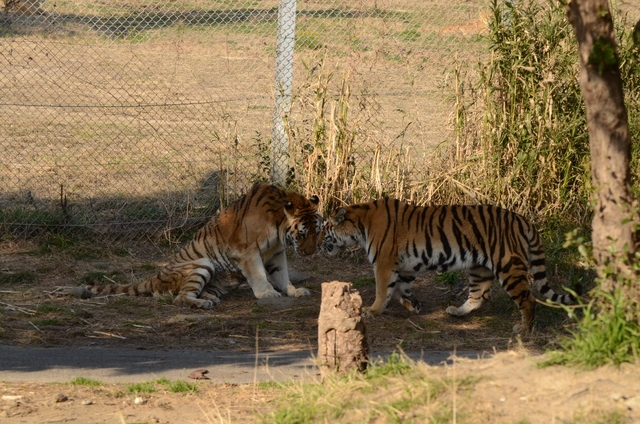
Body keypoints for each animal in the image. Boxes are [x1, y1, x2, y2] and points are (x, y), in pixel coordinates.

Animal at [87, 182, 322, 308]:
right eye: (302, 234)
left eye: (317, 231)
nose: (310, 253)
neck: (278, 226)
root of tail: (155, 276)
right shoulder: (247, 252)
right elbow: (259, 275)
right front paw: (267, 293)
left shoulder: (276, 253)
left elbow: (282, 275)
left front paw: (293, 291)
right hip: (203, 263)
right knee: (180, 297)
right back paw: (203, 303)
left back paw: (209, 296)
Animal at [320, 199, 576, 334]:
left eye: (324, 229)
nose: (319, 244)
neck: (360, 225)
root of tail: (524, 221)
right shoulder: (406, 265)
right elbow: (401, 288)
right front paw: (413, 304)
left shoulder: (384, 263)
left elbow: (383, 290)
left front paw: (372, 310)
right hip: (479, 268)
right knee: (479, 296)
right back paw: (456, 311)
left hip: (507, 266)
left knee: (528, 299)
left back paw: (523, 329)